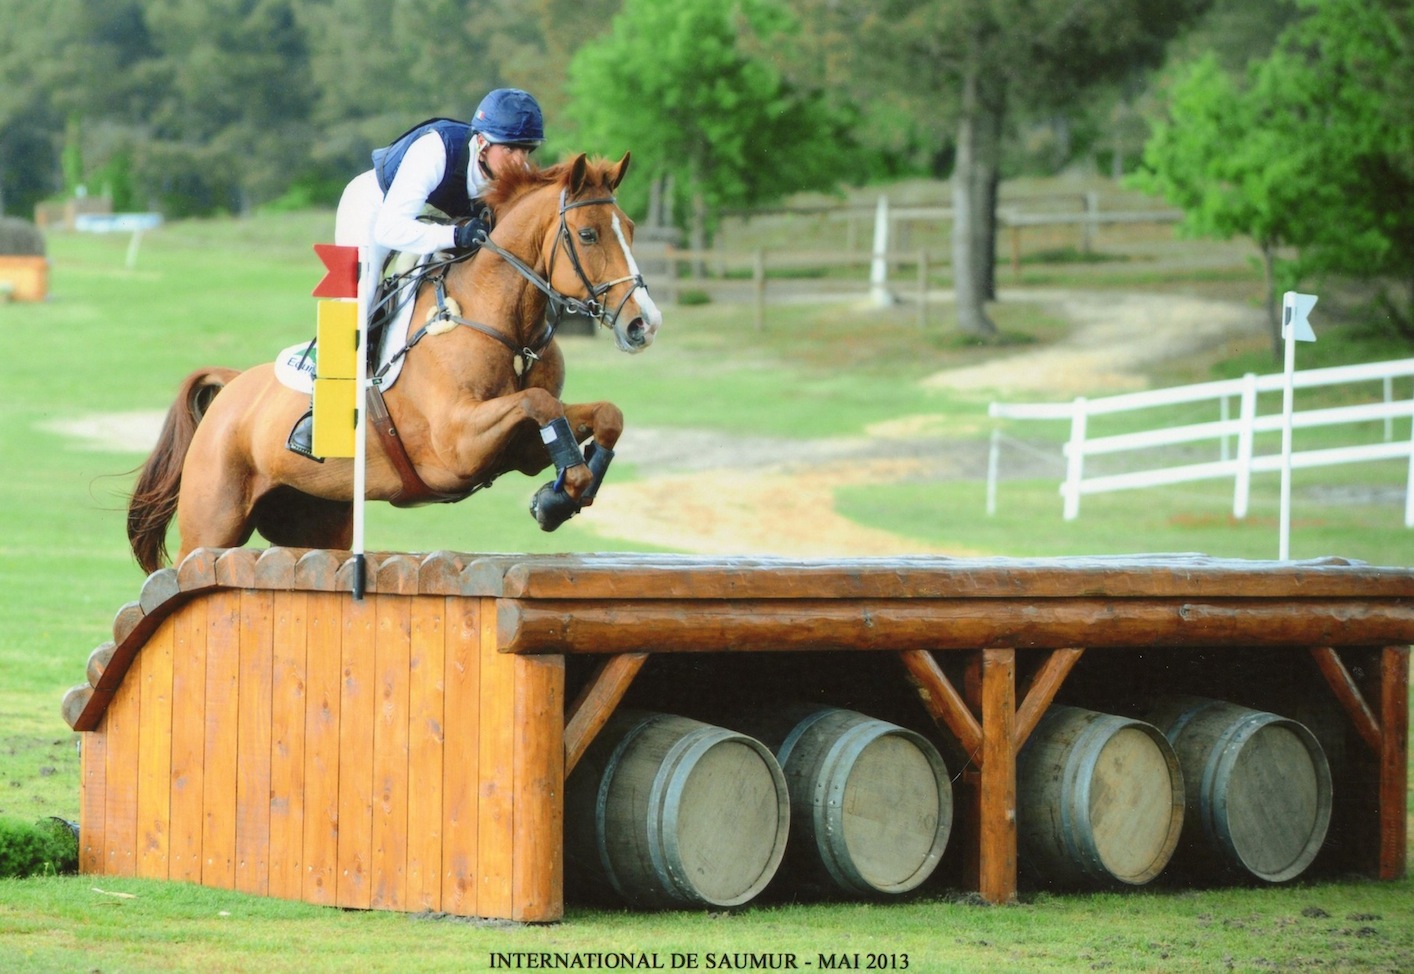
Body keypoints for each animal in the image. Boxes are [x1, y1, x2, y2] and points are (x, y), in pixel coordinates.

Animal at [127, 152, 661, 573]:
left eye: (632, 230)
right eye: (588, 234)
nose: (644, 324)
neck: (507, 328)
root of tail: (234, 387)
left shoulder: (522, 449)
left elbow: (600, 414)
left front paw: (562, 495)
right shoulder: (457, 444)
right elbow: (538, 402)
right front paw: (560, 494)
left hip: (316, 522)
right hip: (212, 523)